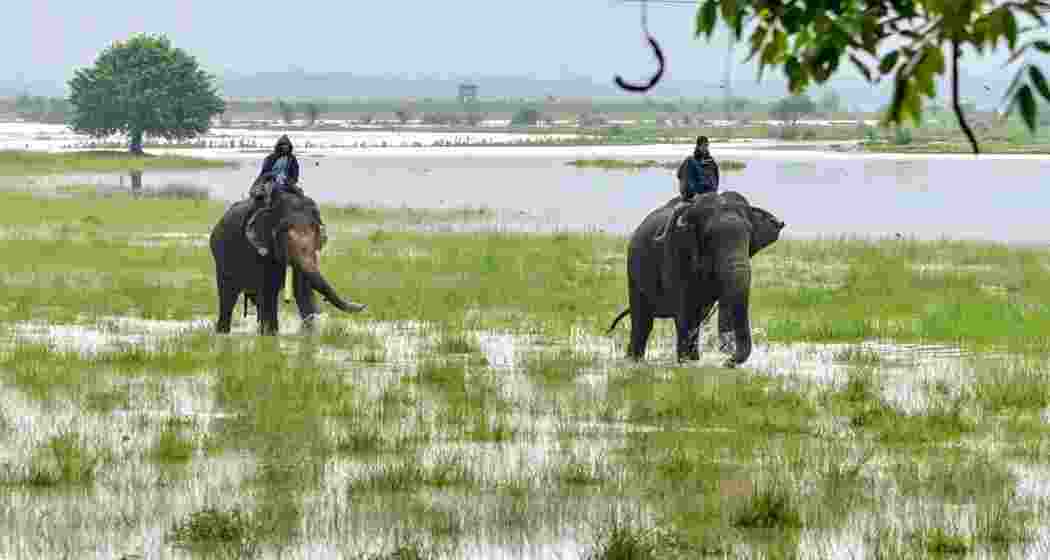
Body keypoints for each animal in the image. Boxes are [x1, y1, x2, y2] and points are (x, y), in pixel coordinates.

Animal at [209, 189, 366, 335]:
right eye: (285, 234)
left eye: (316, 232)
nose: (363, 306)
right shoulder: (259, 248)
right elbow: (269, 292)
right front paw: (271, 335)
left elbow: (303, 291)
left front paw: (309, 333)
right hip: (221, 256)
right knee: (228, 296)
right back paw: (223, 332)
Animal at [607, 191, 784, 366]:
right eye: (710, 236)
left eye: (749, 234)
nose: (727, 361)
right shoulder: (675, 251)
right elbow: (685, 310)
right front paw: (686, 363)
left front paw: (694, 361)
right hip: (633, 268)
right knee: (643, 320)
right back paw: (634, 360)